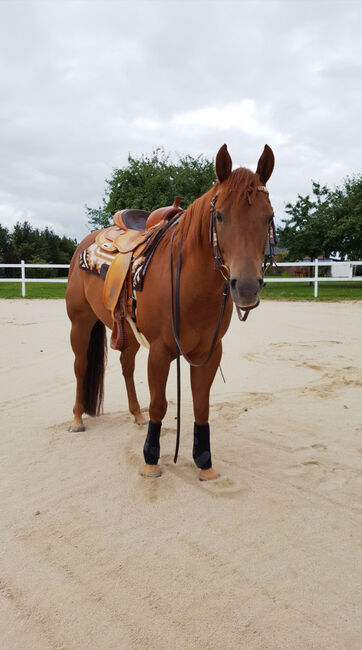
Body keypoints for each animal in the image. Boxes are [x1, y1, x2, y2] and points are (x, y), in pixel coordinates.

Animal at [66, 144, 274, 478]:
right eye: (219, 215)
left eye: (268, 216)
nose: (246, 287)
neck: (191, 284)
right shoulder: (161, 350)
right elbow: (160, 404)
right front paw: (151, 460)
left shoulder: (209, 351)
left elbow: (201, 404)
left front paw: (204, 462)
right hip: (80, 322)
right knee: (81, 365)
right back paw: (76, 419)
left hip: (128, 332)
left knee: (126, 365)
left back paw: (136, 415)